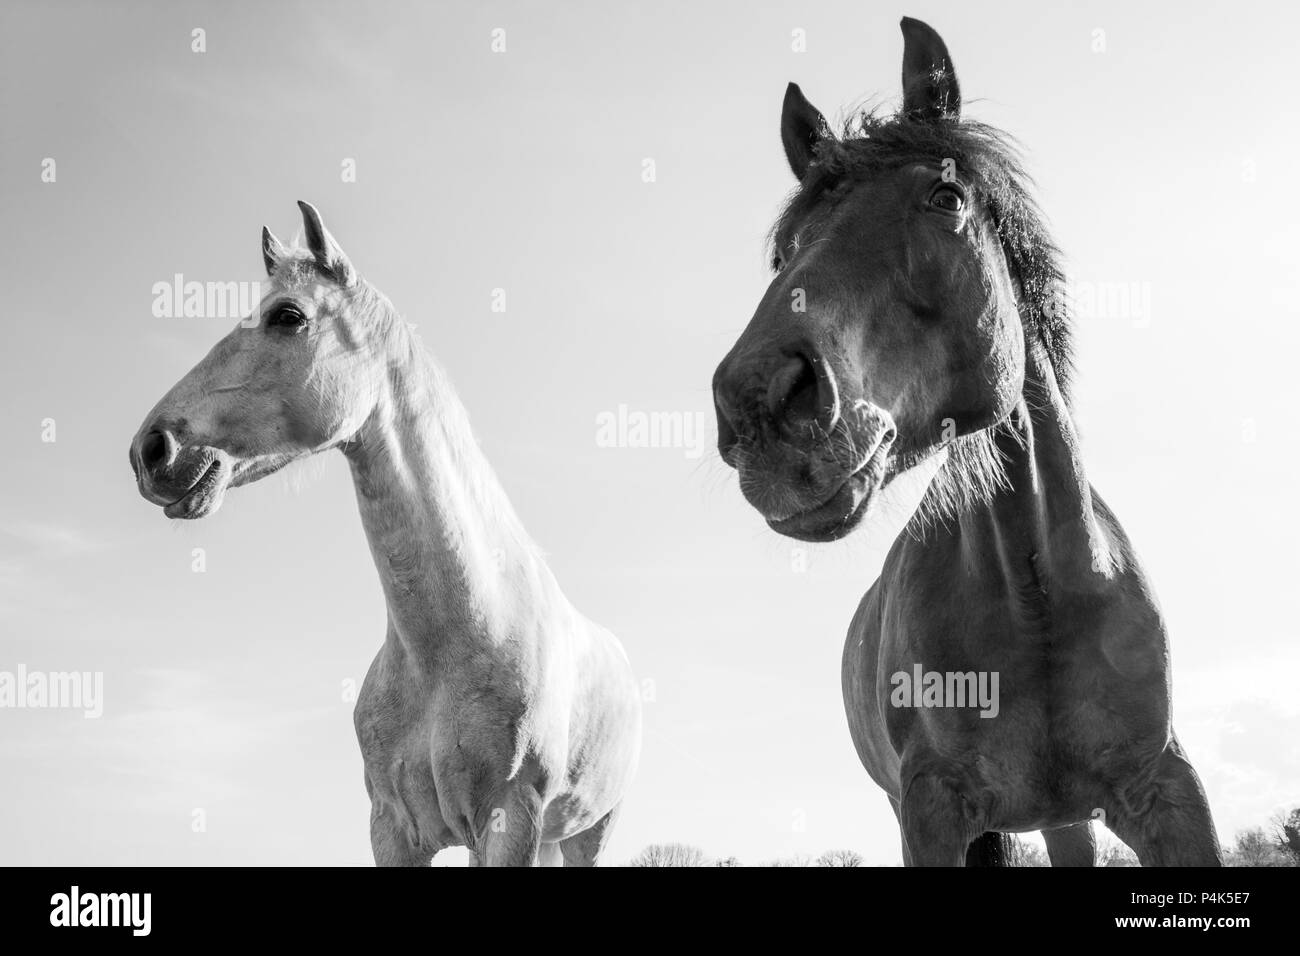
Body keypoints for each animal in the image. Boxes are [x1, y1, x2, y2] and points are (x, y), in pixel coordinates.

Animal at [130, 201, 639, 868]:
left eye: (287, 316)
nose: (150, 450)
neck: (447, 649)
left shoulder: (509, 824)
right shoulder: (393, 829)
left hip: (587, 833)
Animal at [712, 14, 1216, 868]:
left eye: (944, 196)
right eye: (785, 251)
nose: (757, 403)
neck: (1040, 593)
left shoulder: (1168, 791)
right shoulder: (933, 810)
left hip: (1067, 818)